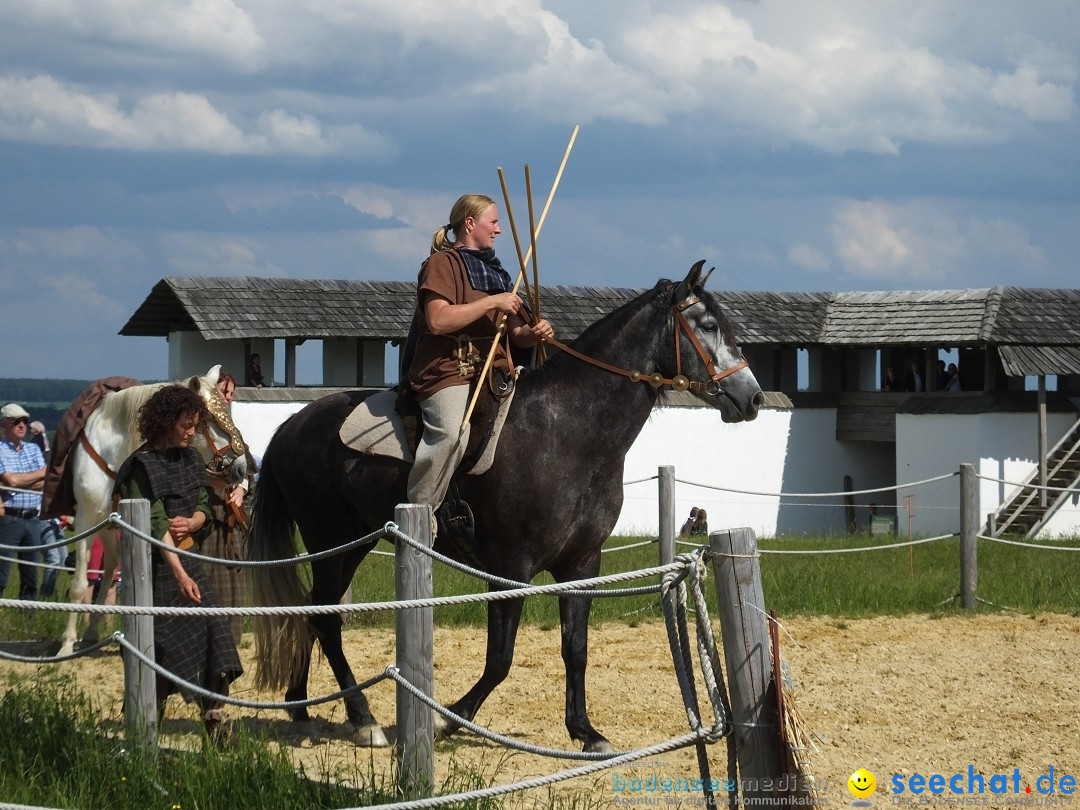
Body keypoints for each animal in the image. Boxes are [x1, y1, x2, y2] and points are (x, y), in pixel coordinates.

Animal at [59, 365, 248, 656]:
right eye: (208, 419)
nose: (242, 467)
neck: (116, 448)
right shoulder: (84, 522)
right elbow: (79, 586)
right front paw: (66, 646)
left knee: (111, 566)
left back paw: (92, 634)